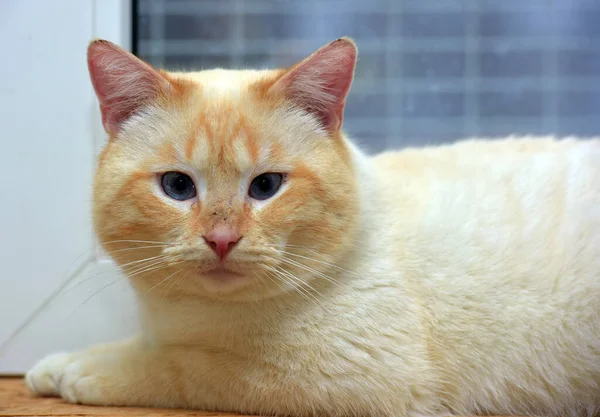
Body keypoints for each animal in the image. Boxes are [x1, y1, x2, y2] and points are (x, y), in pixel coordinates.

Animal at [25, 36, 600, 416]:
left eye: (265, 187)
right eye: (177, 187)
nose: (221, 240)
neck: (192, 317)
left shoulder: (344, 381)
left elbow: (182, 367)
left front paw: (84, 374)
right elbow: (145, 346)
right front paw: (53, 367)